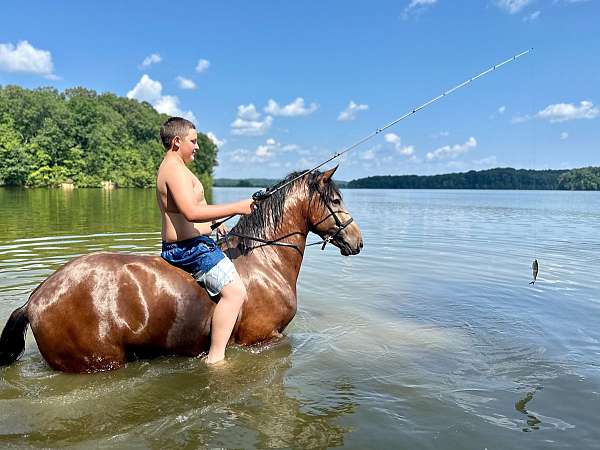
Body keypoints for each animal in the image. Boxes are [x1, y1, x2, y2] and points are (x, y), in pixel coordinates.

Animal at [0, 167, 364, 374]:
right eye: (335, 199)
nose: (357, 241)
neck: (265, 260)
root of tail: (35, 299)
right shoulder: (262, 340)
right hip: (98, 362)